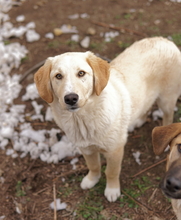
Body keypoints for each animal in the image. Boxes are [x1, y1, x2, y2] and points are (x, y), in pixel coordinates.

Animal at [34, 37, 181, 202]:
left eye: (81, 73)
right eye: (58, 76)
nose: (71, 98)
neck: (82, 120)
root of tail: (164, 40)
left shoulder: (115, 151)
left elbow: (111, 172)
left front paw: (112, 190)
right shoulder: (86, 149)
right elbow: (93, 166)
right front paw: (91, 180)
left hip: (166, 100)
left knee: (168, 117)